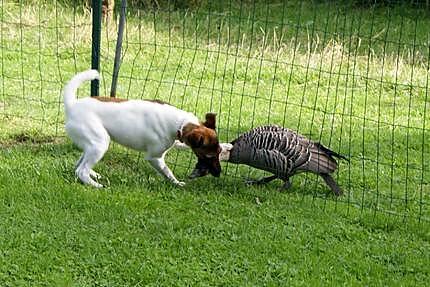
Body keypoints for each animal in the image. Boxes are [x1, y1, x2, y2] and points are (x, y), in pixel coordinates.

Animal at [63, 69, 222, 187]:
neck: (180, 123)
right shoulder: (155, 157)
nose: (219, 173)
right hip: (100, 143)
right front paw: (176, 183)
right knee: (81, 171)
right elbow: (167, 171)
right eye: (209, 156)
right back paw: (96, 185)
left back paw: (94, 175)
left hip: (92, 144)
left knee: (78, 164)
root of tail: (72, 105)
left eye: (219, 152)